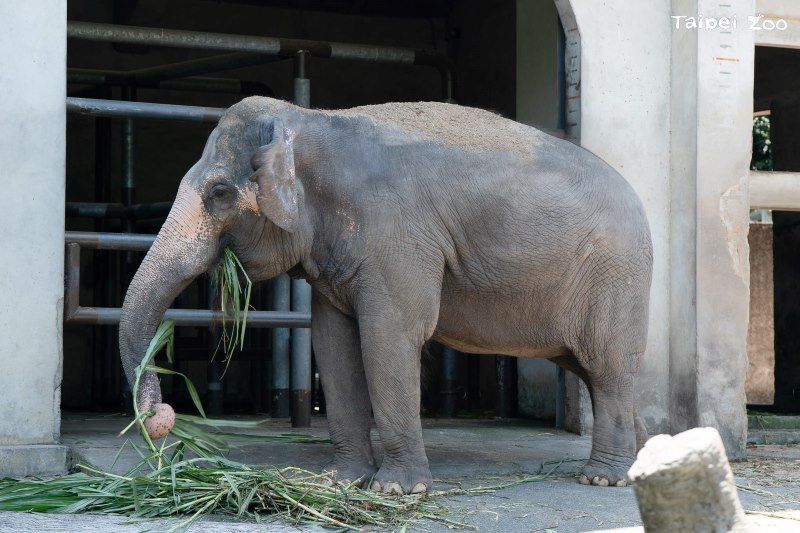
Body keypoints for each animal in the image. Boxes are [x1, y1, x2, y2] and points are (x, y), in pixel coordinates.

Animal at [120, 95, 656, 494]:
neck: (311, 120)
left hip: (616, 276)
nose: (162, 419)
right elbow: (333, 347)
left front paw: (397, 490)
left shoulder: (397, 235)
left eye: (219, 194)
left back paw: (602, 478)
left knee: (606, 366)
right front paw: (340, 482)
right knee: (597, 370)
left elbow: (389, 336)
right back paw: (641, 462)